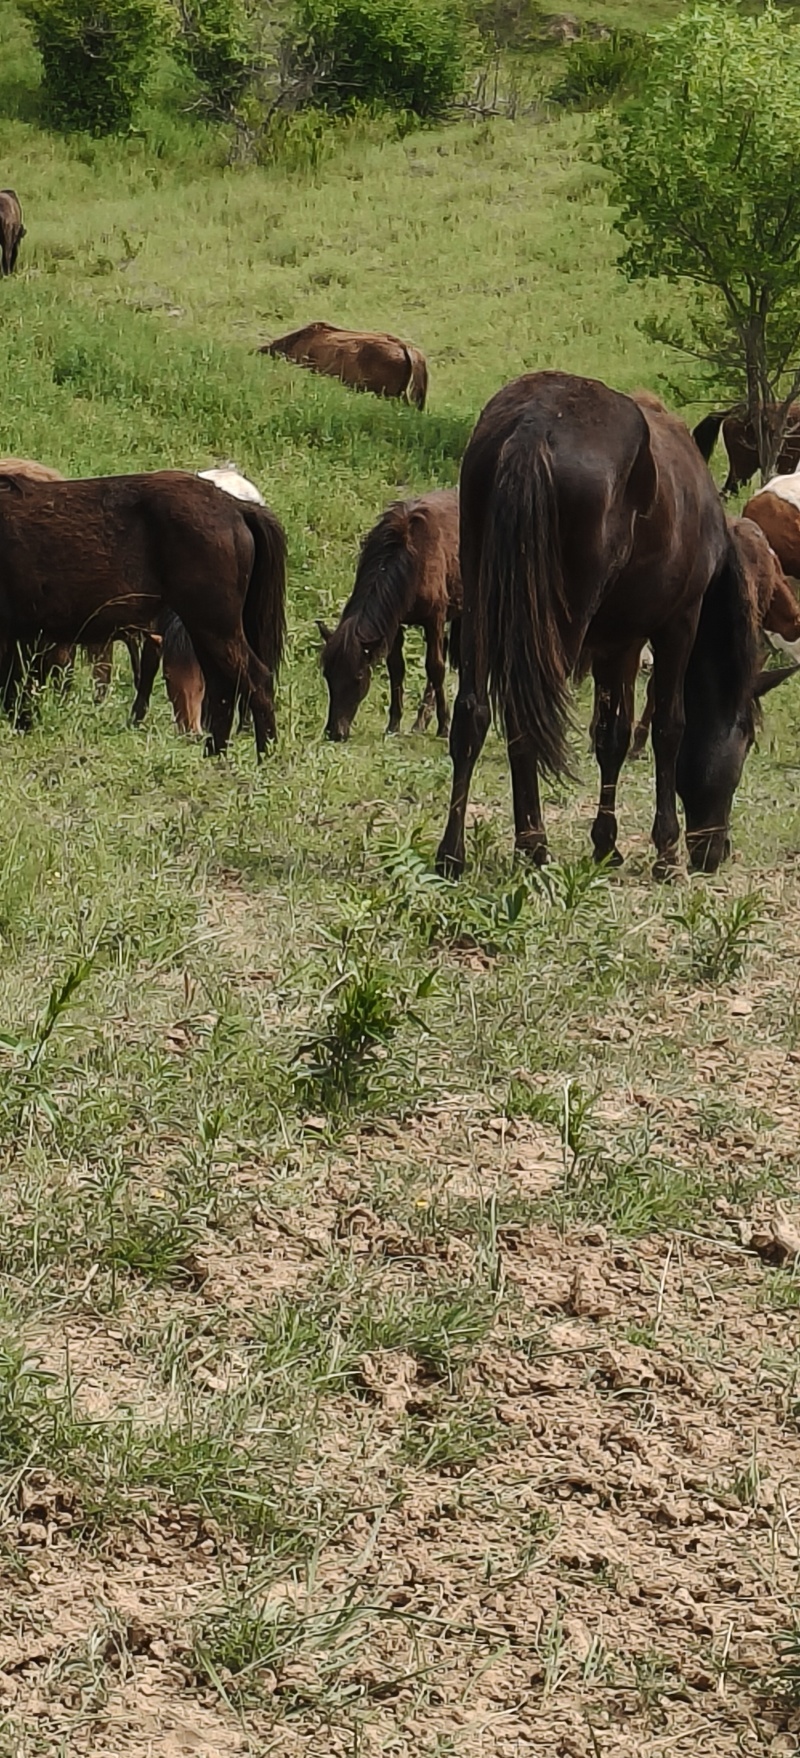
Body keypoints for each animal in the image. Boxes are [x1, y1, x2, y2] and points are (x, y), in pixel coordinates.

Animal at [0, 471, 286, 755]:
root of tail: (236, 507)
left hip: (215, 626)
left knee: (256, 682)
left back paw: (265, 756)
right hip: (204, 630)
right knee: (222, 689)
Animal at [318, 490, 461, 742]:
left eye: (358, 677)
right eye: (327, 674)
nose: (335, 732)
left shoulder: (434, 618)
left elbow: (435, 667)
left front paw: (444, 726)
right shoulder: (394, 622)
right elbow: (397, 669)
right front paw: (394, 724)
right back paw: (420, 722)